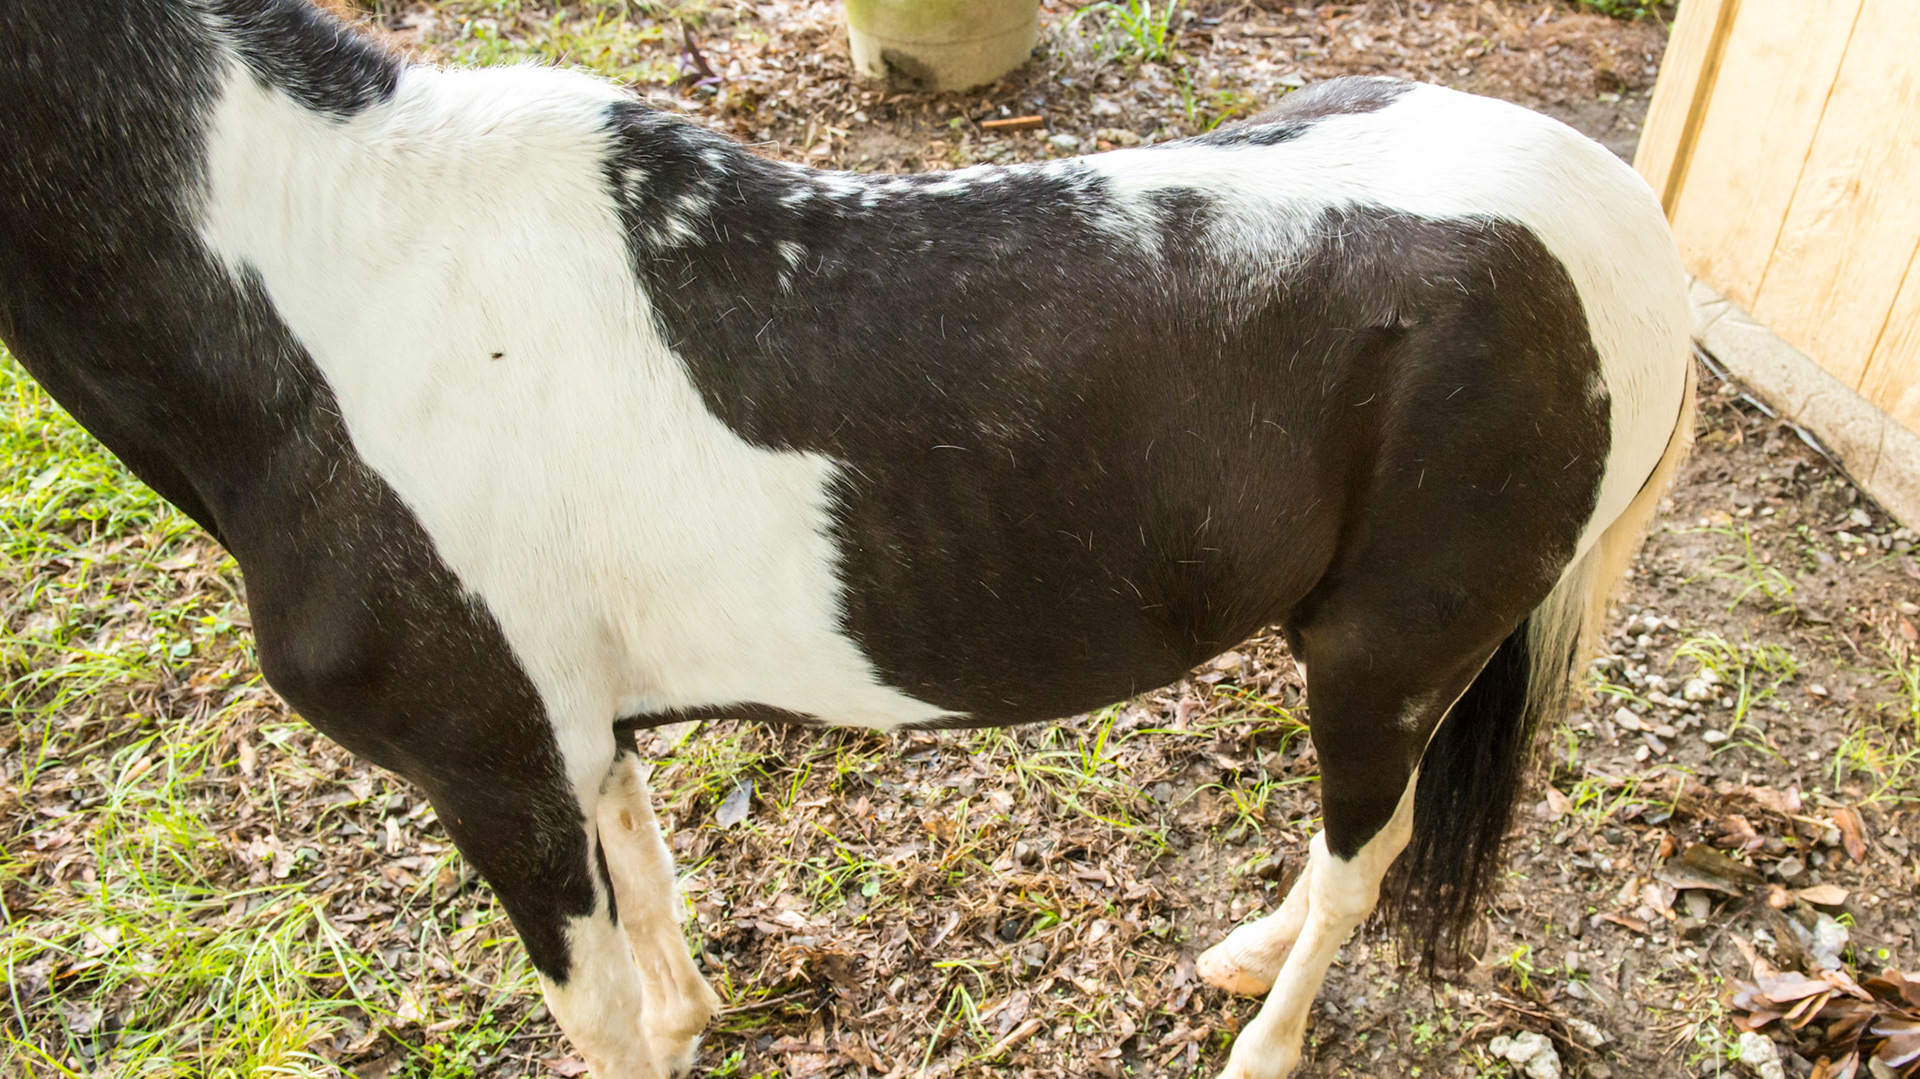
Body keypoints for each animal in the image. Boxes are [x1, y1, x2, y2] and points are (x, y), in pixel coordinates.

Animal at [0, 1, 1694, 1075]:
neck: (331, 305)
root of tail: (1620, 222)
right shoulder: (578, 742)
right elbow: (653, 901)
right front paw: (700, 1017)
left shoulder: (492, 774)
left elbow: (601, 1012)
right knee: (1357, 838)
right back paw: (1240, 954)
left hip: (1389, 648)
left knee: (1369, 853)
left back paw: (1262, 1038)